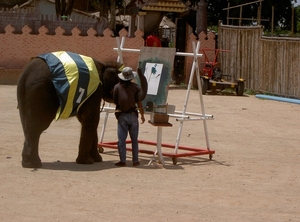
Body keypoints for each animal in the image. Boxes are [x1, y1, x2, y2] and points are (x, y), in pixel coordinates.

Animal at [17, 50, 147, 168]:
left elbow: (86, 119)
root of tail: (26, 74)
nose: (139, 66)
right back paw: (34, 164)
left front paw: (97, 159)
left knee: (27, 124)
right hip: (41, 92)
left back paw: (28, 163)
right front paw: (87, 162)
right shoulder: (95, 89)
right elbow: (91, 118)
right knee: (37, 126)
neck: (104, 65)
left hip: (24, 94)